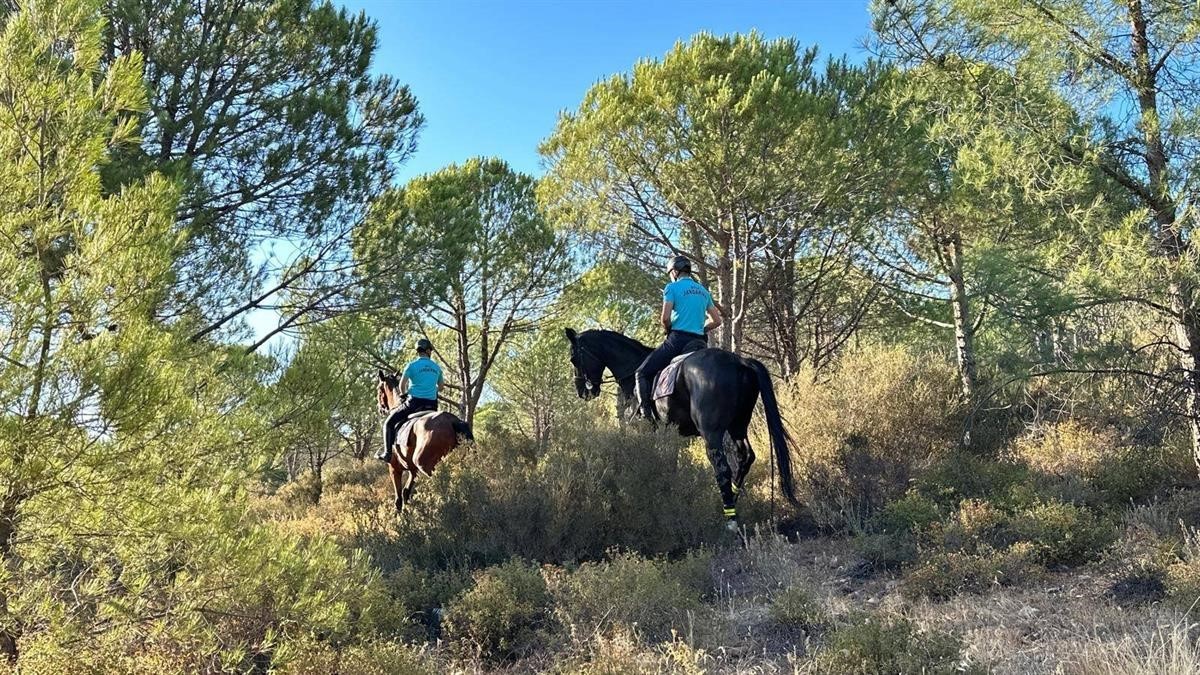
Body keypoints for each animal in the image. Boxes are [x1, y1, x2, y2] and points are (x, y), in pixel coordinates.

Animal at [376, 367, 470, 509]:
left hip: (425, 464)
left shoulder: (394, 469)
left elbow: (398, 499)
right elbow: (406, 492)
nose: (380, 408)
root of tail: (452, 421)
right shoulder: (413, 471)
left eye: (379, 389)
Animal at [564, 326, 796, 521]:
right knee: (745, 457)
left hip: (712, 432)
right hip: (738, 426)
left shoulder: (648, 432)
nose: (583, 391)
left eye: (574, 359)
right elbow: (671, 464)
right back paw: (728, 504)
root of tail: (740, 362)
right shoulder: (671, 433)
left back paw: (729, 518)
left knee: (722, 467)